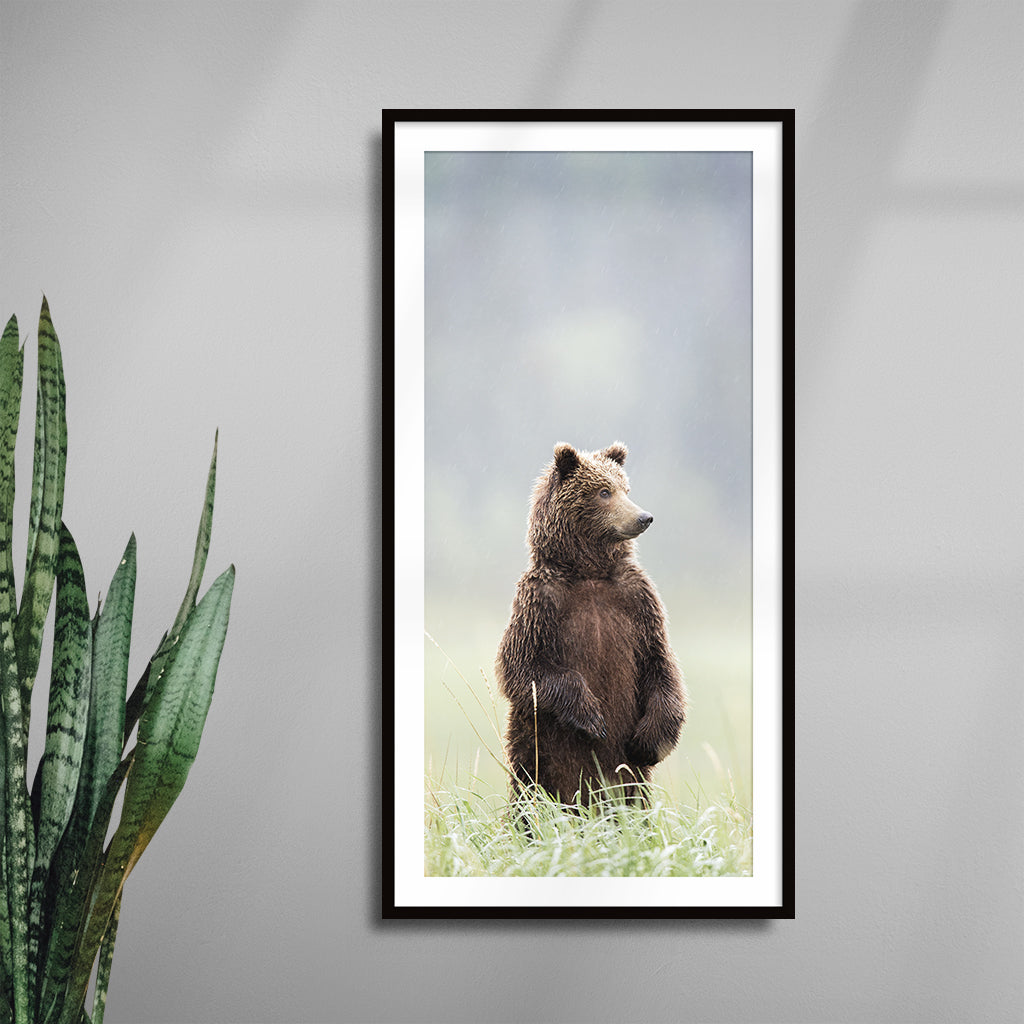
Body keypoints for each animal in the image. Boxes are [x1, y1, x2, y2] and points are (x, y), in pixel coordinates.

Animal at [495, 442, 686, 806]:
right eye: (603, 491)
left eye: (626, 489)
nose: (644, 517)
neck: (590, 572)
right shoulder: (540, 601)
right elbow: (523, 668)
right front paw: (593, 718)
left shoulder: (638, 600)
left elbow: (660, 663)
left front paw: (648, 740)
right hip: (535, 751)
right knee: (528, 792)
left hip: (632, 781)